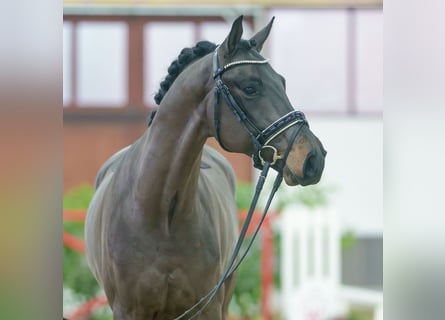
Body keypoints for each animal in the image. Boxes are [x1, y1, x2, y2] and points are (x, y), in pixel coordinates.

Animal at [84, 15, 326, 320]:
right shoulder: (128, 311)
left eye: (282, 83)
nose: (314, 158)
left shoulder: (207, 306)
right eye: (250, 87)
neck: (159, 214)